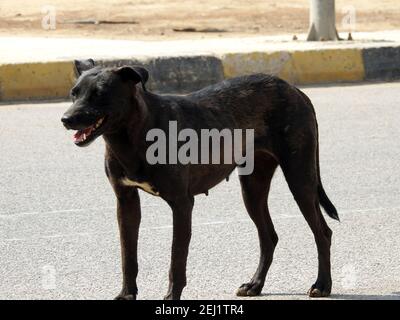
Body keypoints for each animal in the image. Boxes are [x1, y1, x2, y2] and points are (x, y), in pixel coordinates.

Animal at [61, 59, 338, 300]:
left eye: (100, 94)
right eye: (74, 93)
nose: (65, 119)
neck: (132, 135)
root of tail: (294, 90)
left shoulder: (182, 205)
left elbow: (176, 260)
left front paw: (171, 297)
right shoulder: (126, 202)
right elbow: (128, 256)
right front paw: (126, 294)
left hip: (300, 179)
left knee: (323, 232)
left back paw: (322, 285)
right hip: (252, 188)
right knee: (269, 236)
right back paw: (255, 284)